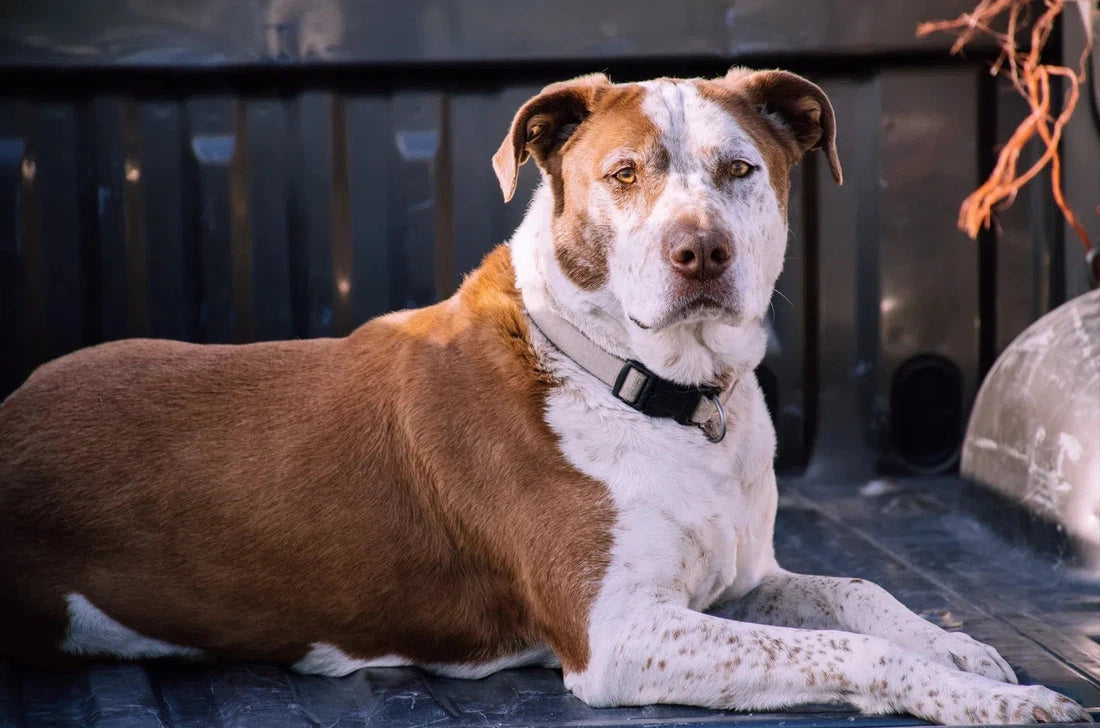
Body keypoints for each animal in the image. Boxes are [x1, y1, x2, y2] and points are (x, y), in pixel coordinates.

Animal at [0, 67, 1086, 725]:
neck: (656, 390)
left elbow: (860, 594)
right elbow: (843, 650)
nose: (699, 252)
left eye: (740, 169)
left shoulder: (737, 576)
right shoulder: (623, 636)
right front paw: (985, 699)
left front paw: (962, 650)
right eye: (622, 173)